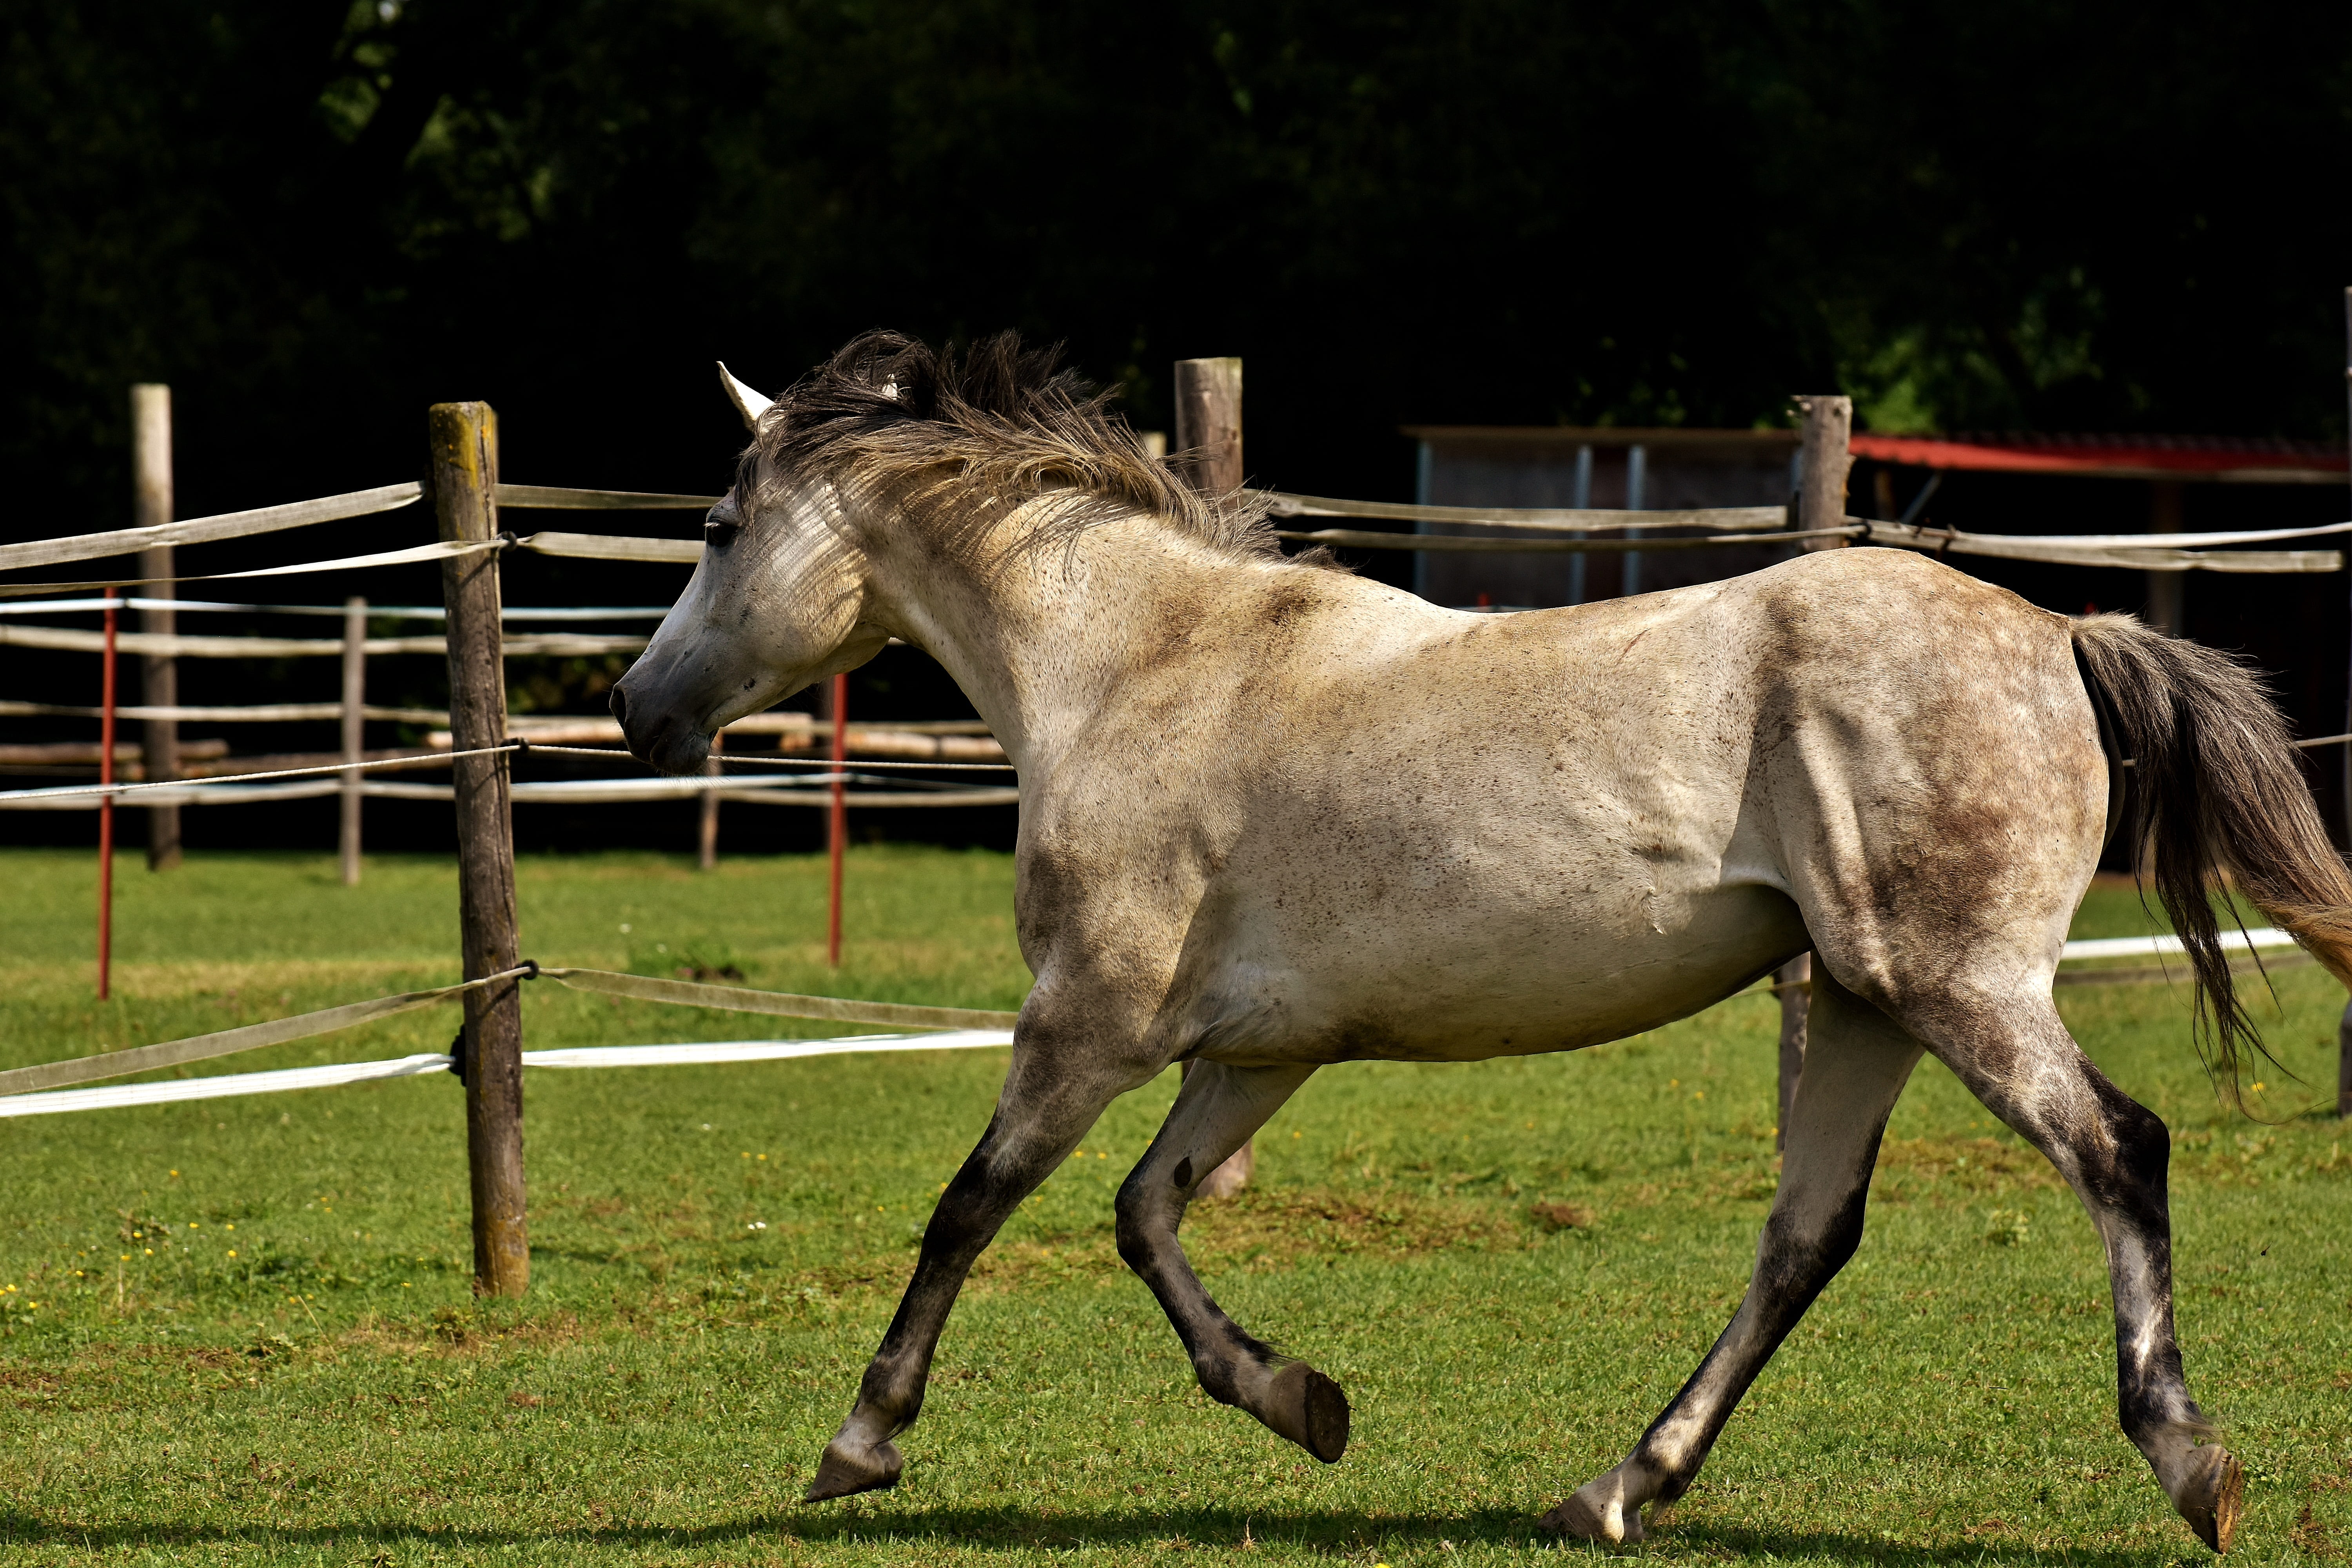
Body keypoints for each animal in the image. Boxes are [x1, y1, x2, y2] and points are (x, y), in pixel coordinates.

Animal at [612, 330, 2352, 1553]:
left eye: (716, 524)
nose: (639, 710)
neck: (1137, 668)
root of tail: (2060, 631)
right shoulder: (1258, 1053)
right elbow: (1144, 1217)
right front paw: (1301, 1403)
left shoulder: (1085, 1023)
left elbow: (971, 1211)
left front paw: (859, 1445)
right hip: (1868, 1002)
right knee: (1805, 1238)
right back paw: (1618, 1487)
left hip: (1959, 989)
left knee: (2119, 1149)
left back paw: (2191, 1461)